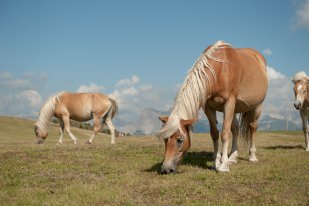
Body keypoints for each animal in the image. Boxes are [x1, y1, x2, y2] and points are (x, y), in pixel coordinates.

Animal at [156, 40, 268, 174]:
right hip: (235, 109)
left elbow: (224, 134)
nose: (165, 169)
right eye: (165, 139)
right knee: (235, 129)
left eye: (180, 139)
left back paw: (252, 156)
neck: (221, 69)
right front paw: (216, 163)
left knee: (252, 127)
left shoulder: (229, 103)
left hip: (257, 106)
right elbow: (214, 133)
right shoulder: (208, 108)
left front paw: (223, 166)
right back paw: (232, 157)